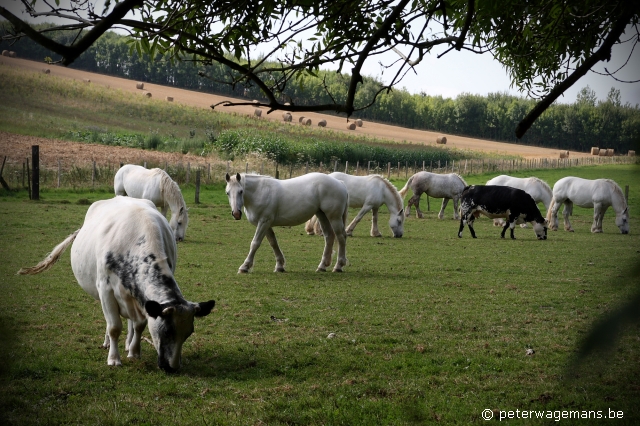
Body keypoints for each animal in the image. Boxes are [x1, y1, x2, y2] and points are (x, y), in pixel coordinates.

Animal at [17, 196, 216, 372]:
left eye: (188, 333)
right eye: (167, 331)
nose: (172, 368)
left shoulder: (142, 299)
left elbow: (139, 325)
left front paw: (134, 352)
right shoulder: (106, 291)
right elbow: (114, 327)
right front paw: (113, 359)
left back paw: (128, 343)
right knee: (110, 321)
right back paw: (107, 342)